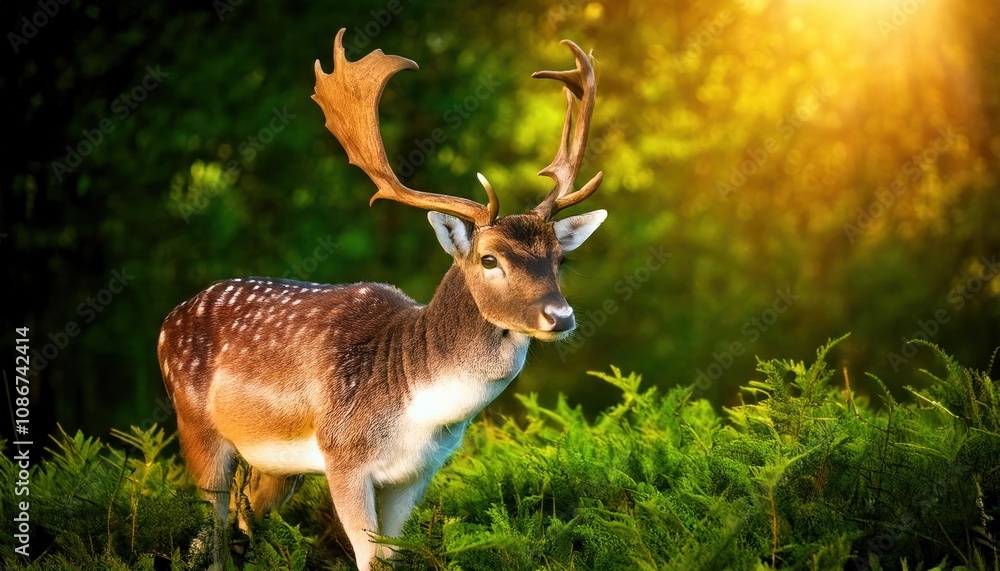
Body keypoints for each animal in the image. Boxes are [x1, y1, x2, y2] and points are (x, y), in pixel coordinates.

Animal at [158, 29, 607, 571]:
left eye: (559, 259)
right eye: (489, 259)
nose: (560, 315)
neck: (417, 413)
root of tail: (168, 321)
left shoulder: (418, 474)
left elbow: (391, 556)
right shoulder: (343, 455)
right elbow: (367, 557)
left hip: (276, 467)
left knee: (239, 525)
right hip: (196, 426)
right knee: (211, 533)